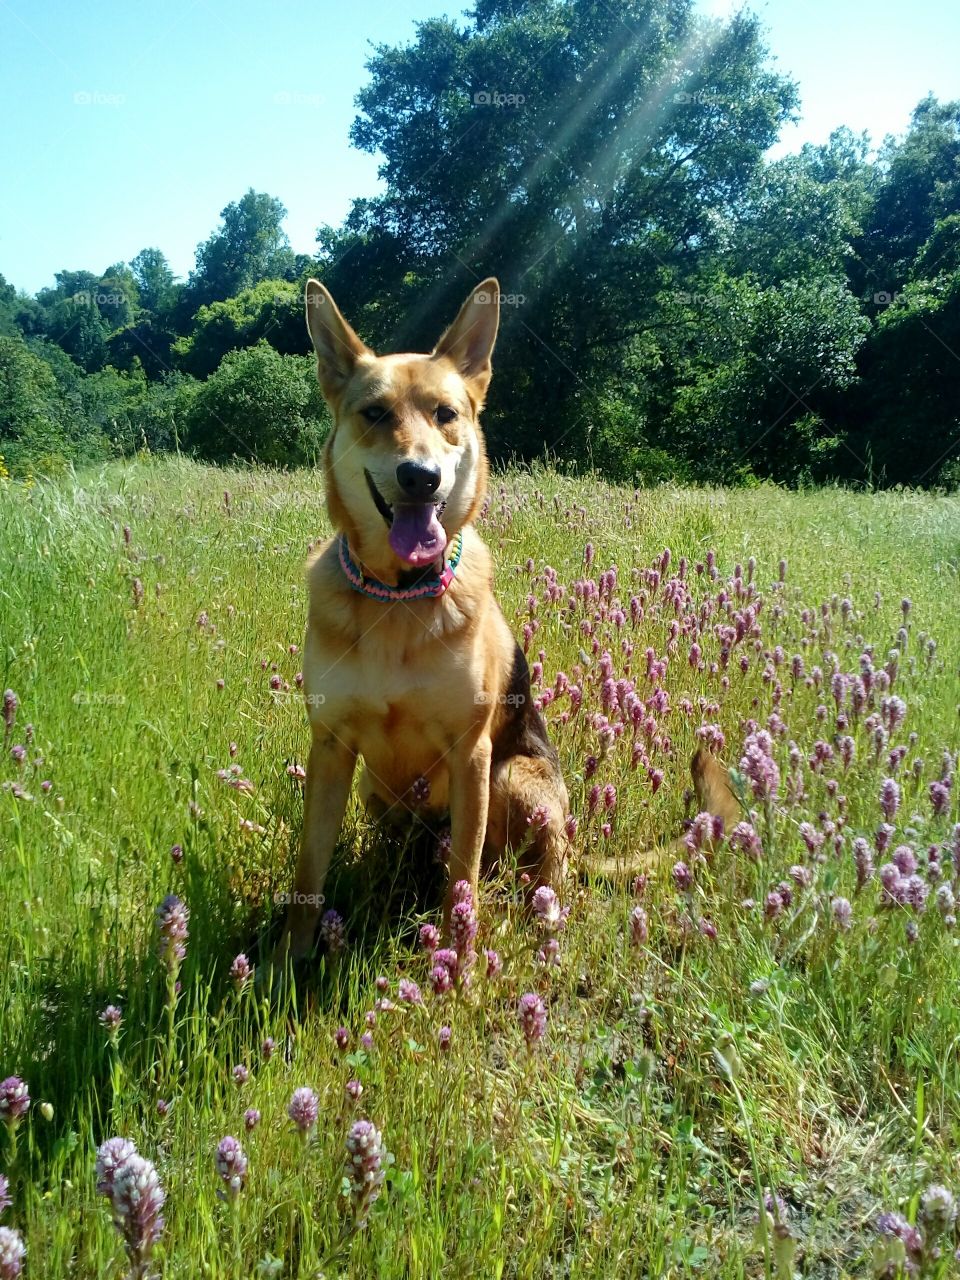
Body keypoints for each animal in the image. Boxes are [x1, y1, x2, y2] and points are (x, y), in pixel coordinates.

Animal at [273, 277, 570, 962]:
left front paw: (459, 958)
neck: (398, 599)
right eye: (376, 414)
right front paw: (290, 959)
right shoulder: (331, 747)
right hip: (375, 793)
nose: (420, 477)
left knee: (529, 865)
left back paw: (541, 918)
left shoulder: (470, 752)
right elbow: (309, 866)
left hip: (516, 777)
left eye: (446, 414)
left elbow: (463, 872)